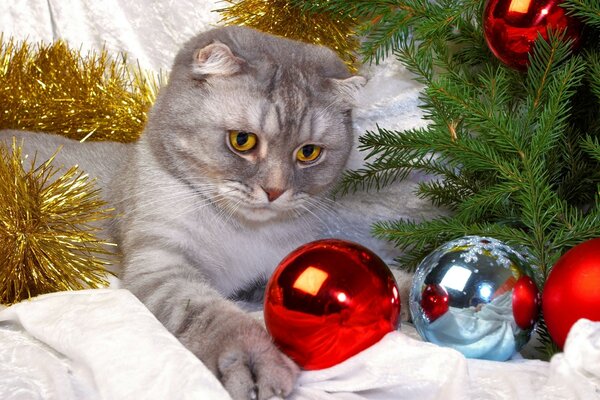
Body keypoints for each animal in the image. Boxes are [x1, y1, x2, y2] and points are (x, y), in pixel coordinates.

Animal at [2, 26, 420, 398]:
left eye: (308, 152)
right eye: (243, 141)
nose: (274, 191)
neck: (244, 232)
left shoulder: (284, 261)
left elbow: (380, 271)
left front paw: (415, 292)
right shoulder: (162, 265)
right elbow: (209, 311)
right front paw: (254, 357)